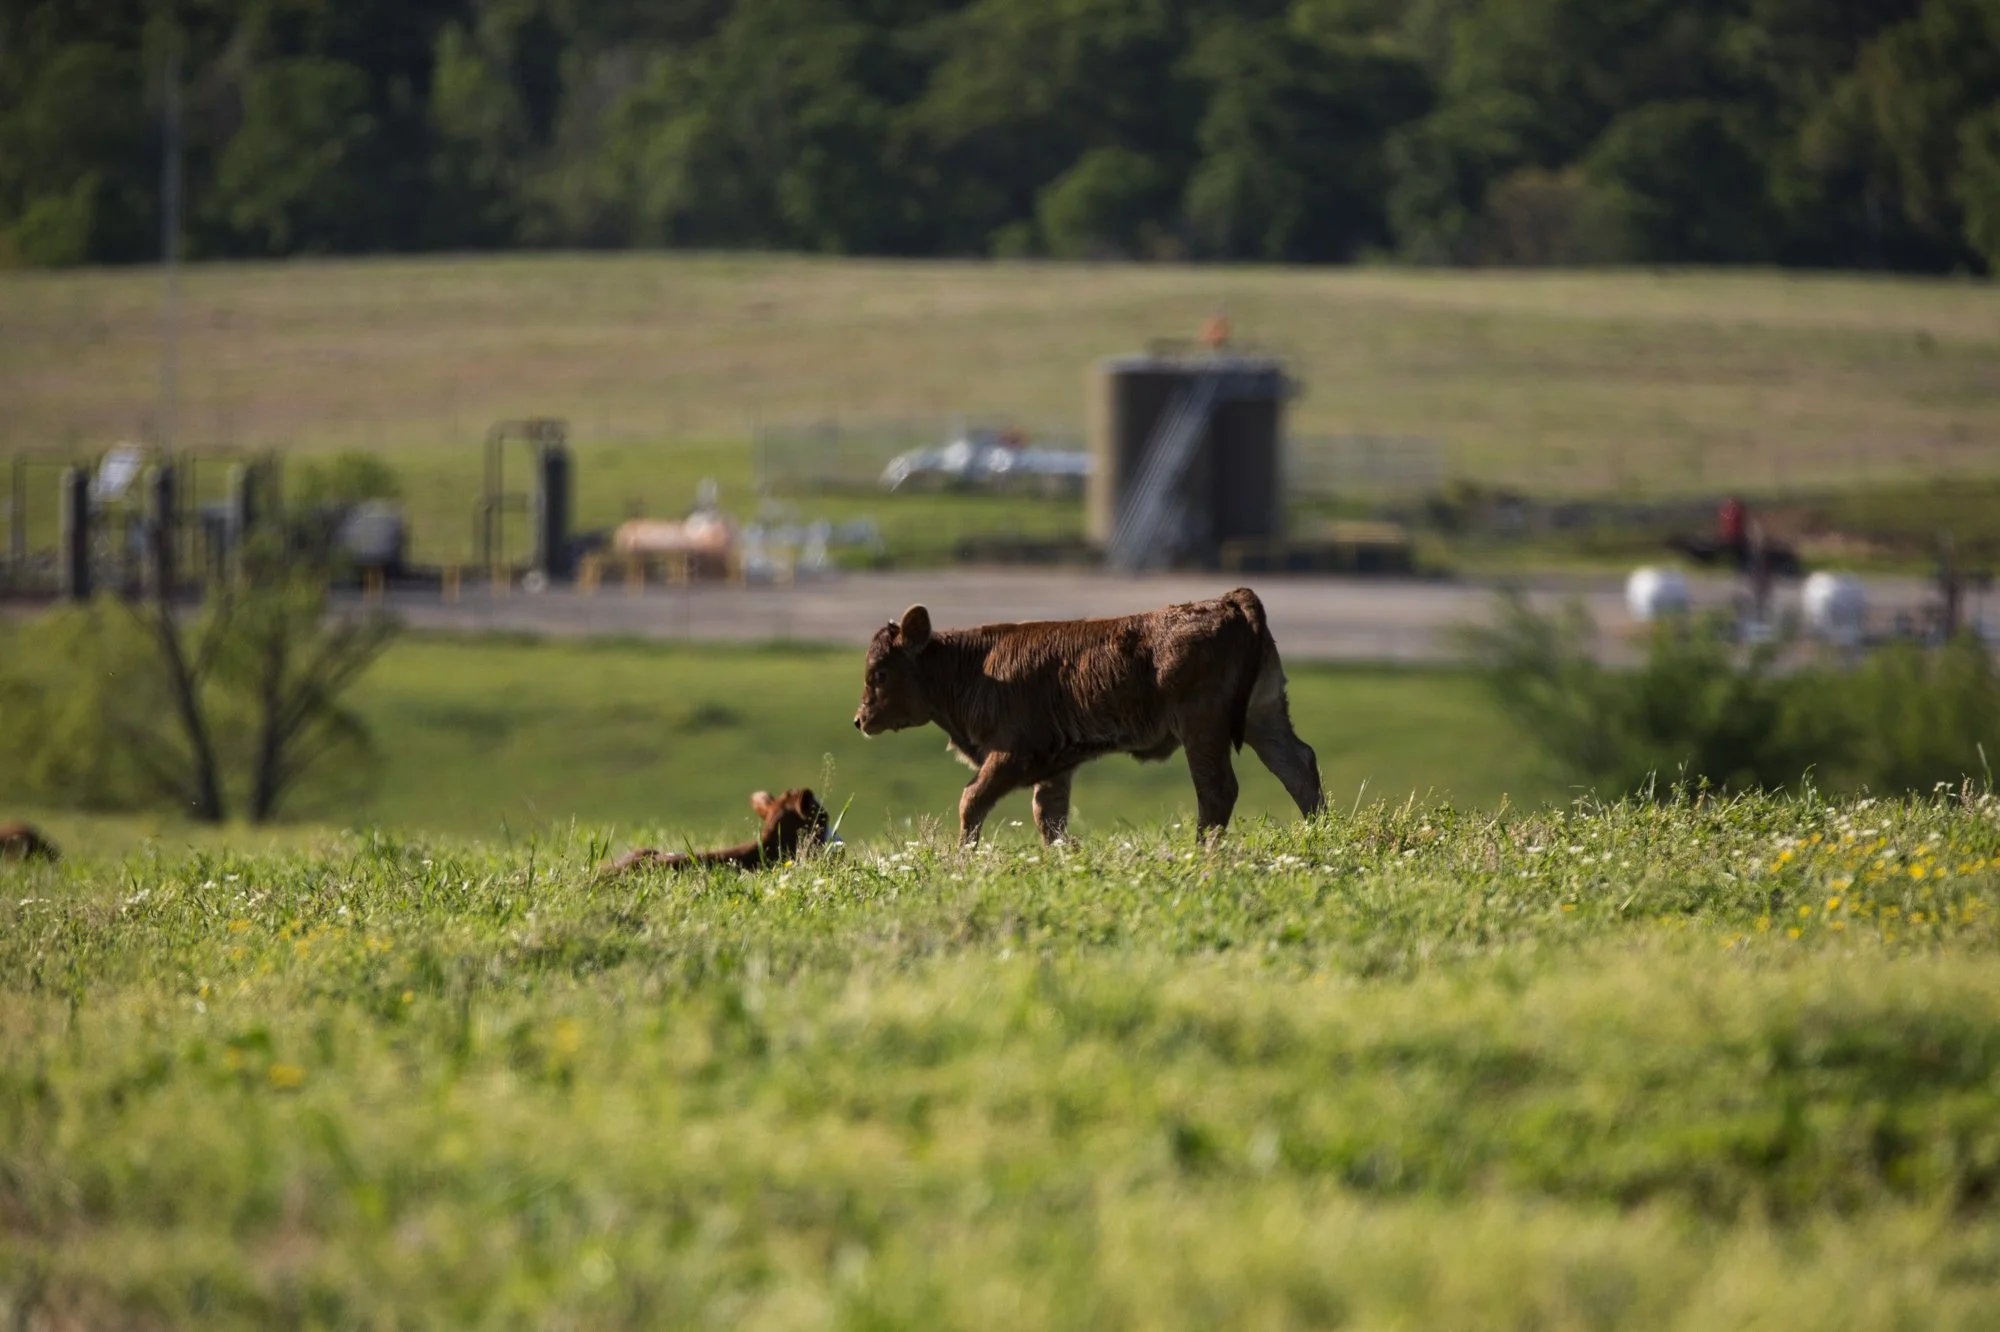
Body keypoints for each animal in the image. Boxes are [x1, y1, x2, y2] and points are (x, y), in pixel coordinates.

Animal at [852, 587, 1324, 845]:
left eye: (880, 672)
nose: (860, 720)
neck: (973, 666)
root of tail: (1227, 601)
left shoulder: (1009, 755)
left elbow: (972, 801)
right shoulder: (1055, 767)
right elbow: (1049, 818)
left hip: (1202, 730)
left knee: (1217, 790)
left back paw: (1202, 854)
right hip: (1264, 717)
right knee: (1298, 765)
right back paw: (1320, 837)